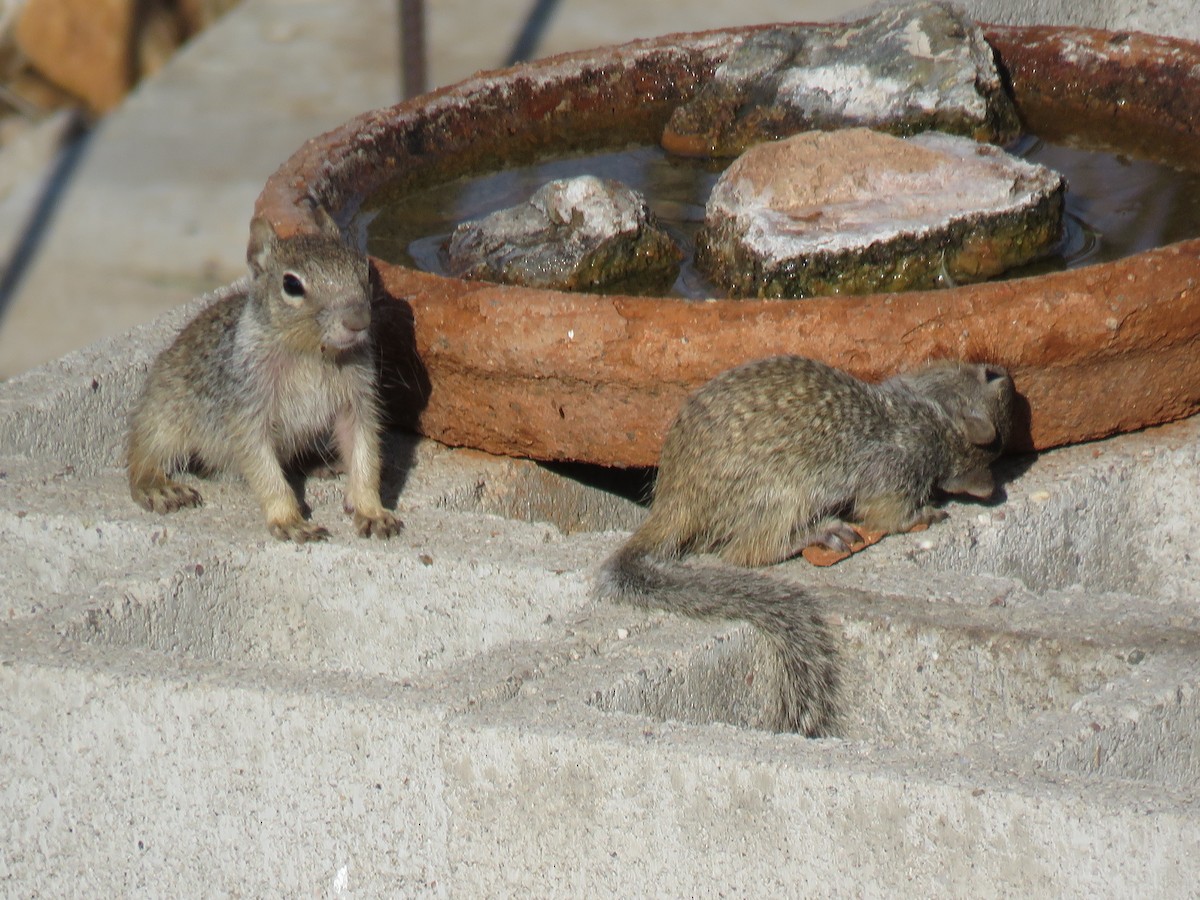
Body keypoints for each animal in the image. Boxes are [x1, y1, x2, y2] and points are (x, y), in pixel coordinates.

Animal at [127, 210, 401, 543]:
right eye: (292, 285)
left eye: (366, 270)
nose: (358, 321)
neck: (310, 353)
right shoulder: (248, 409)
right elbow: (264, 469)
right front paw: (289, 520)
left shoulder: (357, 402)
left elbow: (365, 456)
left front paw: (372, 512)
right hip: (165, 414)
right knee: (142, 453)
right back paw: (157, 486)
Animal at [594, 355, 1015, 735]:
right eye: (990, 377)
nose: (1007, 373)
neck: (926, 411)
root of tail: (675, 500)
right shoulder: (898, 469)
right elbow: (885, 513)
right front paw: (925, 515)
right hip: (782, 497)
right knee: (745, 551)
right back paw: (815, 535)